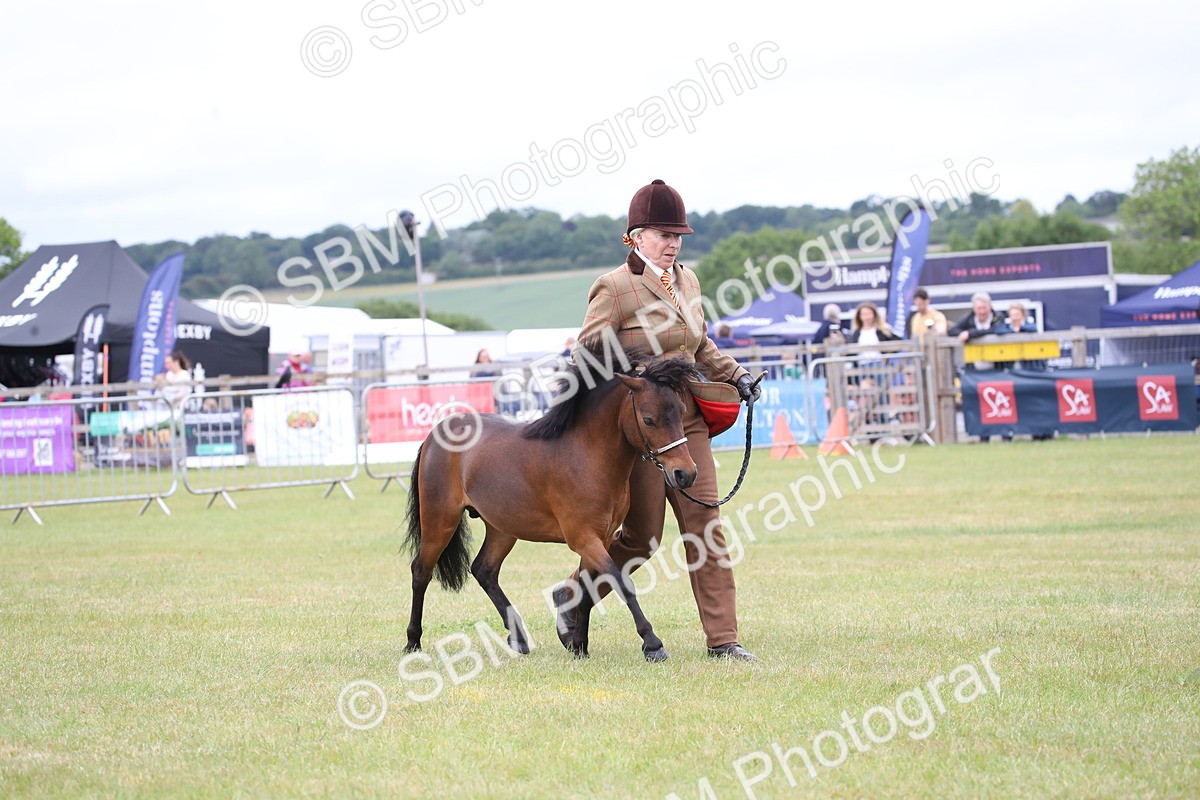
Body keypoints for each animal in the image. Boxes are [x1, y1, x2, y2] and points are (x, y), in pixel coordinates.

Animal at [402, 347, 700, 662]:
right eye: (648, 420)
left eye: (682, 413)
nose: (686, 474)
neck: (586, 456)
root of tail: (436, 434)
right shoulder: (584, 538)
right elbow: (621, 582)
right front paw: (652, 643)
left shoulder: (602, 538)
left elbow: (586, 588)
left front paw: (579, 645)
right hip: (439, 521)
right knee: (421, 572)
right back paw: (413, 641)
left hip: (502, 528)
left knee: (484, 570)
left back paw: (518, 639)